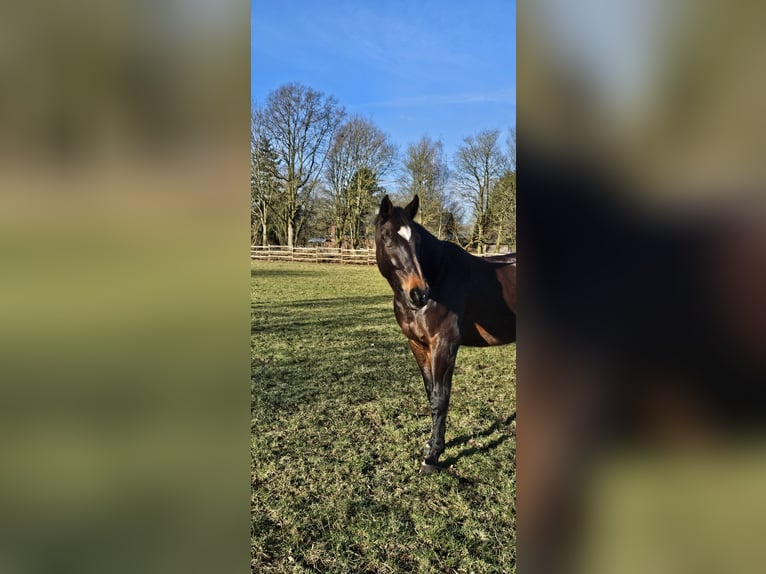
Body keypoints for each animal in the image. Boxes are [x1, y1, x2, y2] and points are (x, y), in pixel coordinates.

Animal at [376, 196, 520, 474]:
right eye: (387, 237)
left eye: (417, 241)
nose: (419, 293)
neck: (439, 276)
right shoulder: (418, 345)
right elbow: (430, 392)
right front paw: (432, 444)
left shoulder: (445, 345)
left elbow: (440, 398)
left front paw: (433, 457)